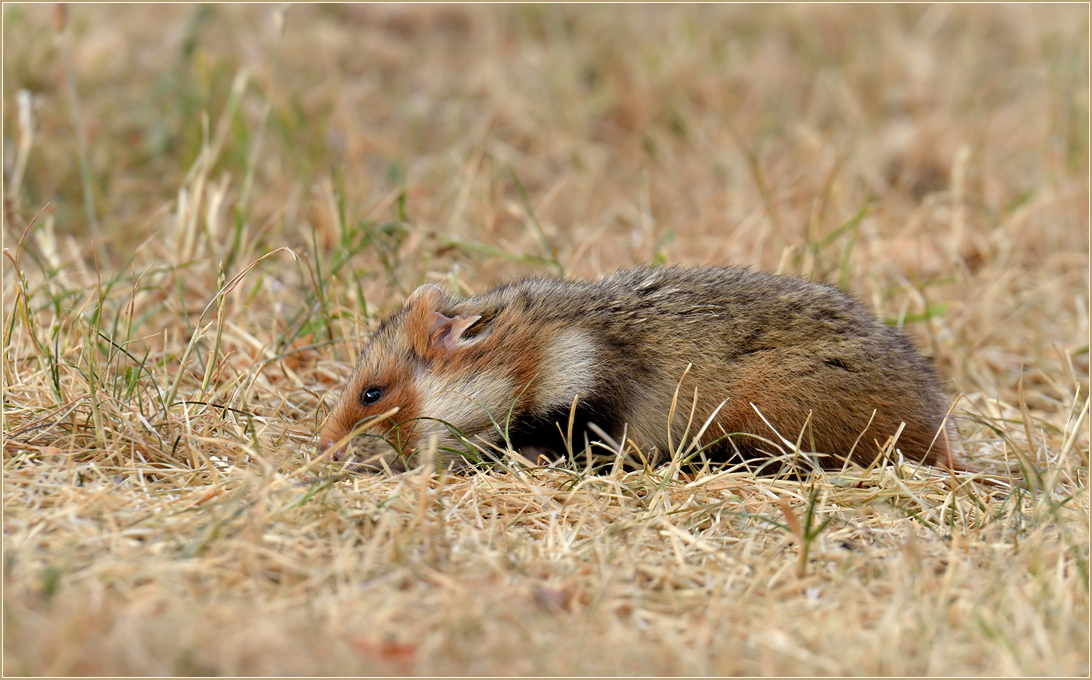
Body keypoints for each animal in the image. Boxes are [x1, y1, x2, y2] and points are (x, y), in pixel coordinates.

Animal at [316, 266, 965, 473]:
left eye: (372, 393)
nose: (321, 448)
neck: (534, 350)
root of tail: (939, 439)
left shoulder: (587, 405)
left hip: (772, 413)